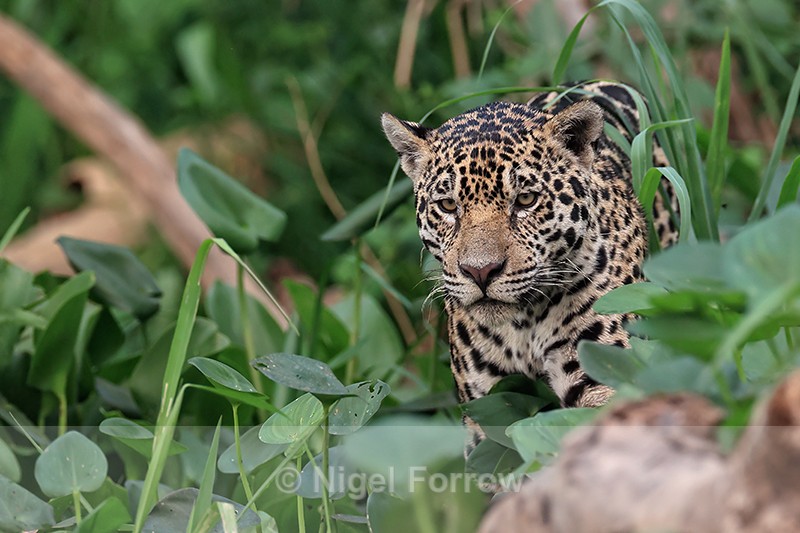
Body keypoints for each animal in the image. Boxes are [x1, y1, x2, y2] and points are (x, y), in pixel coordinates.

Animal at [382, 81, 678, 420]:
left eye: (526, 200)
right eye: (447, 206)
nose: (480, 272)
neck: (523, 327)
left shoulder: (606, 372)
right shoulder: (488, 402)